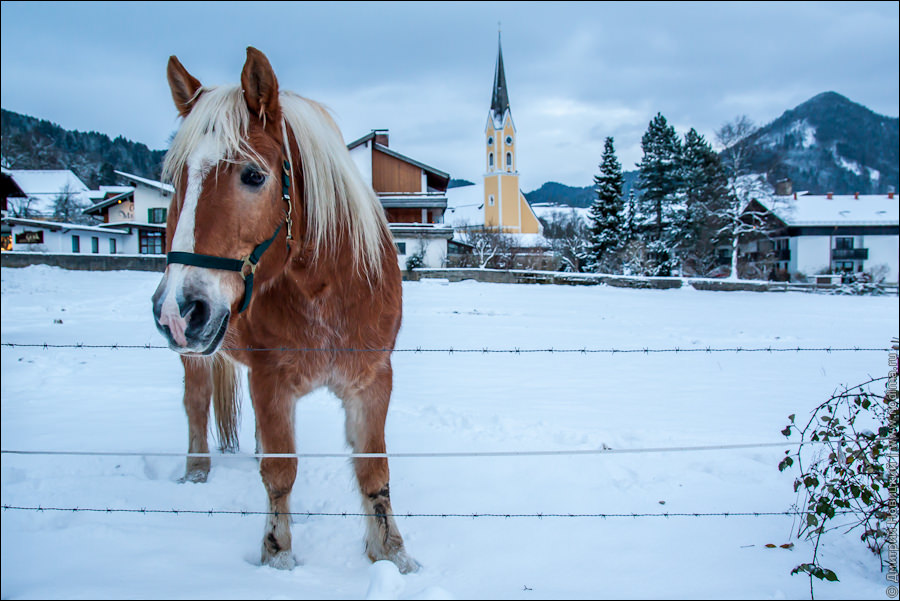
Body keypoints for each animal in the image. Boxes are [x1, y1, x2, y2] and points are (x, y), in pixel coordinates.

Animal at [151, 47, 418, 574]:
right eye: (176, 181)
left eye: (254, 175)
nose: (178, 310)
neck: (327, 291)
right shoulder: (270, 379)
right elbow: (280, 473)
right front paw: (278, 556)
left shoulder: (372, 381)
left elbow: (375, 473)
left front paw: (393, 556)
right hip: (198, 357)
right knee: (196, 404)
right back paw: (196, 473)